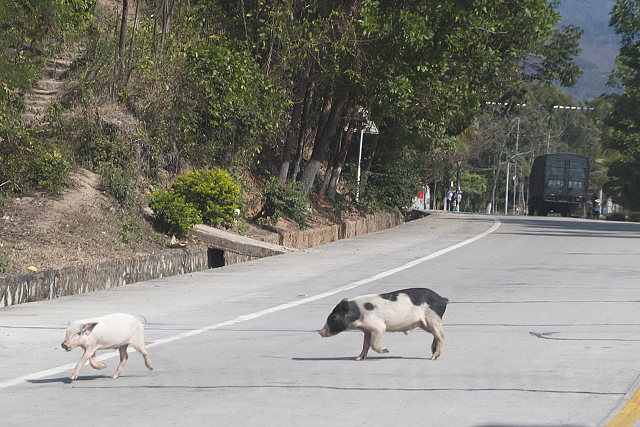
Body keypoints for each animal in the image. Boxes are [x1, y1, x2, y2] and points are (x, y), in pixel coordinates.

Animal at [318, 288, 448, 362]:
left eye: (333, 317)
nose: (320, 332)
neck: (358, 314)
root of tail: (442, 299)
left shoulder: (378, 328)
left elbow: (373, 344)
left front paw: (387, 350)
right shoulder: (367, 331)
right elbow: (365, 345)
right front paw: (358, 358)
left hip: (432, 318)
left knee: (441, 334)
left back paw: (433, 358)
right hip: (423, 323)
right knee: (436, 335)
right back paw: (433, 351)